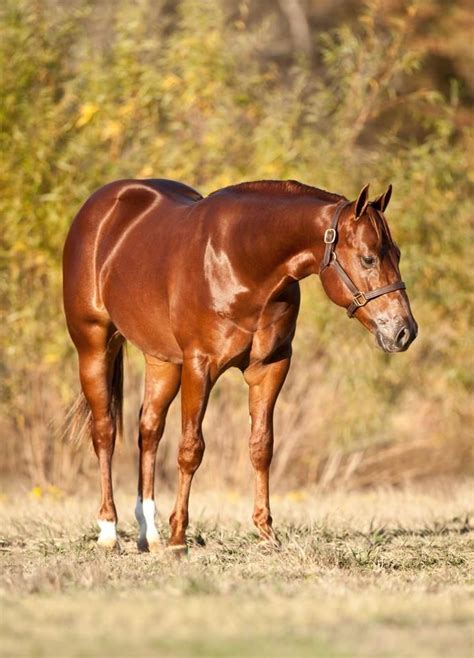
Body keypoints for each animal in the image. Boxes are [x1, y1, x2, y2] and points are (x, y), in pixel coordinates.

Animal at [62, 178, 414, 548]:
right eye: (368, 258)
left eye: (397, 254)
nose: (405, 331)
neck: (241, 261)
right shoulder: (199, 366)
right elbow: (191, 448)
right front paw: (179, 537)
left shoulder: (270, 366)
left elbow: (261, 445)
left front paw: (266, 532)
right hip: (94, 345)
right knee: (105, 431)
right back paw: (109, 530)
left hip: (161, 360)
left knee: (149, 431)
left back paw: (150, 534)